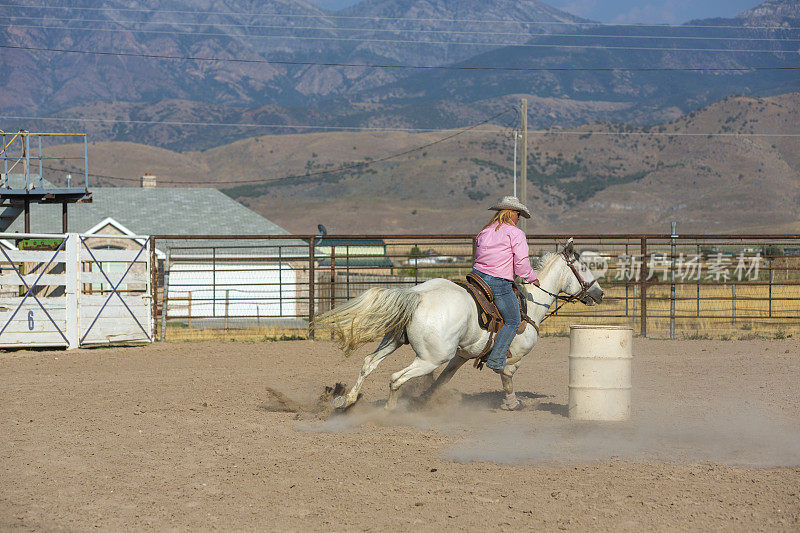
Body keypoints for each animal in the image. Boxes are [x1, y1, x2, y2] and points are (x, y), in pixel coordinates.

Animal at [316, 239, 604, 410]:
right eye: (584, 268)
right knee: (396, 378)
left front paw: (425, 399)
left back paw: (348, 400)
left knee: (368, 363)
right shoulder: (513, 357)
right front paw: (512, 403)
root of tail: (417, 296)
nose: (599, 293)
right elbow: (507, 377)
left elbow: (444, 379)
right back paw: (389, 411)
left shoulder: (462, 355)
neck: (530, 302)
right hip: (431, 357)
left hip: (394, 341)